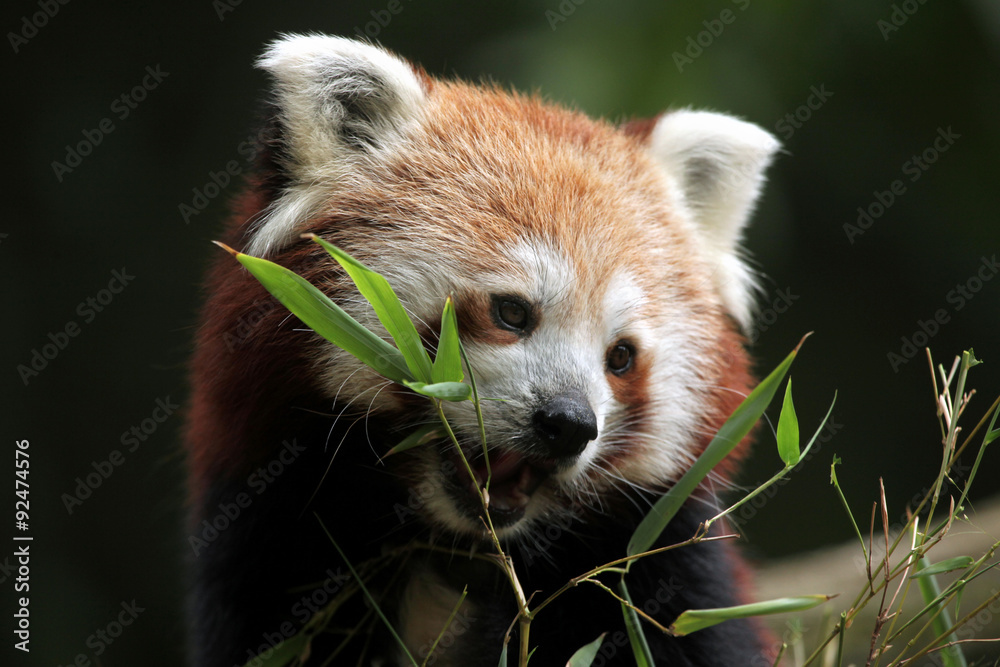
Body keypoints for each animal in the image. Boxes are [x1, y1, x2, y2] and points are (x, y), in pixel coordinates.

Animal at [185, 34, 780, 667]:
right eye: (511, 312)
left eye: (620, 356)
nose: (568, 423)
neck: (461, 551)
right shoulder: (272, 537)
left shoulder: (658, 560)